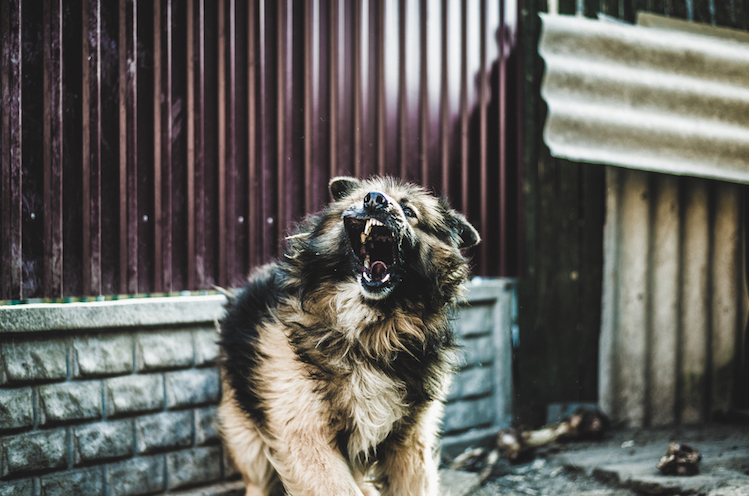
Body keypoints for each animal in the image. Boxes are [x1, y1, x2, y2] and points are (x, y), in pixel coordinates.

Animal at [216, 176, 480, 494]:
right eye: (361, 198)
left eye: (409, 210)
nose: (375, 200)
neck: (371, 333)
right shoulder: (305, 433)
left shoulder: (410, 440)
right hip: (248, 440)